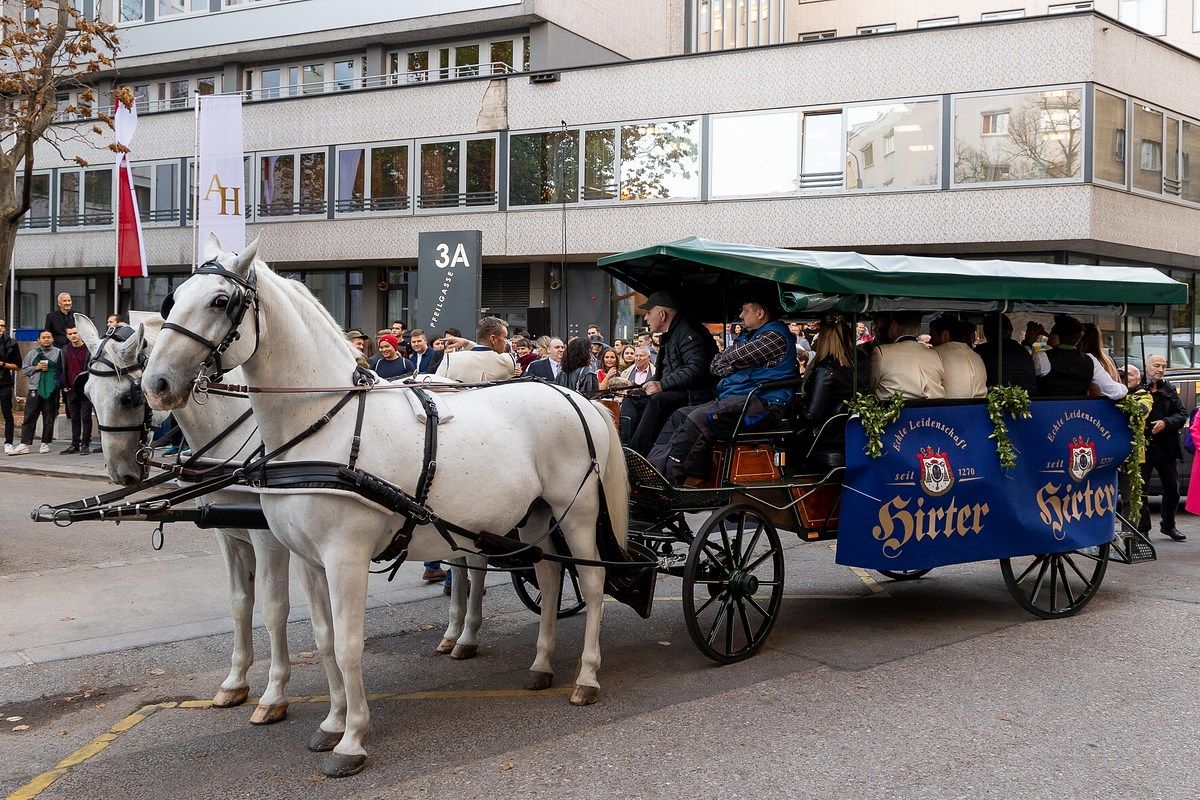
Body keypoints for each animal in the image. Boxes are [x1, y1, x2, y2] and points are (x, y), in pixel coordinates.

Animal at [73, 314, 294, 724]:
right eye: (89, 395)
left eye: (130, 397)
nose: (120, 474)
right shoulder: (229, 534)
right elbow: (240, 602)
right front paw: (235, 681)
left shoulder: (268, 538)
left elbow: (274, 609)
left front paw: (273, 694)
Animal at [140, 236, 628, 777]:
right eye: (172, 298)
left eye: (221, 301)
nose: (156, 384)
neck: (322, 422)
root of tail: (574, 396)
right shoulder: (309, 559)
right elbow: (324, 638)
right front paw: (331, 723)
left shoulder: (345, 557)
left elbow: (349, 643)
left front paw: (352, 740)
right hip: (535, 514)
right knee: (548, 574)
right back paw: (541, 664)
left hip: (577, 513)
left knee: (592, 582)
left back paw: (586, 676)